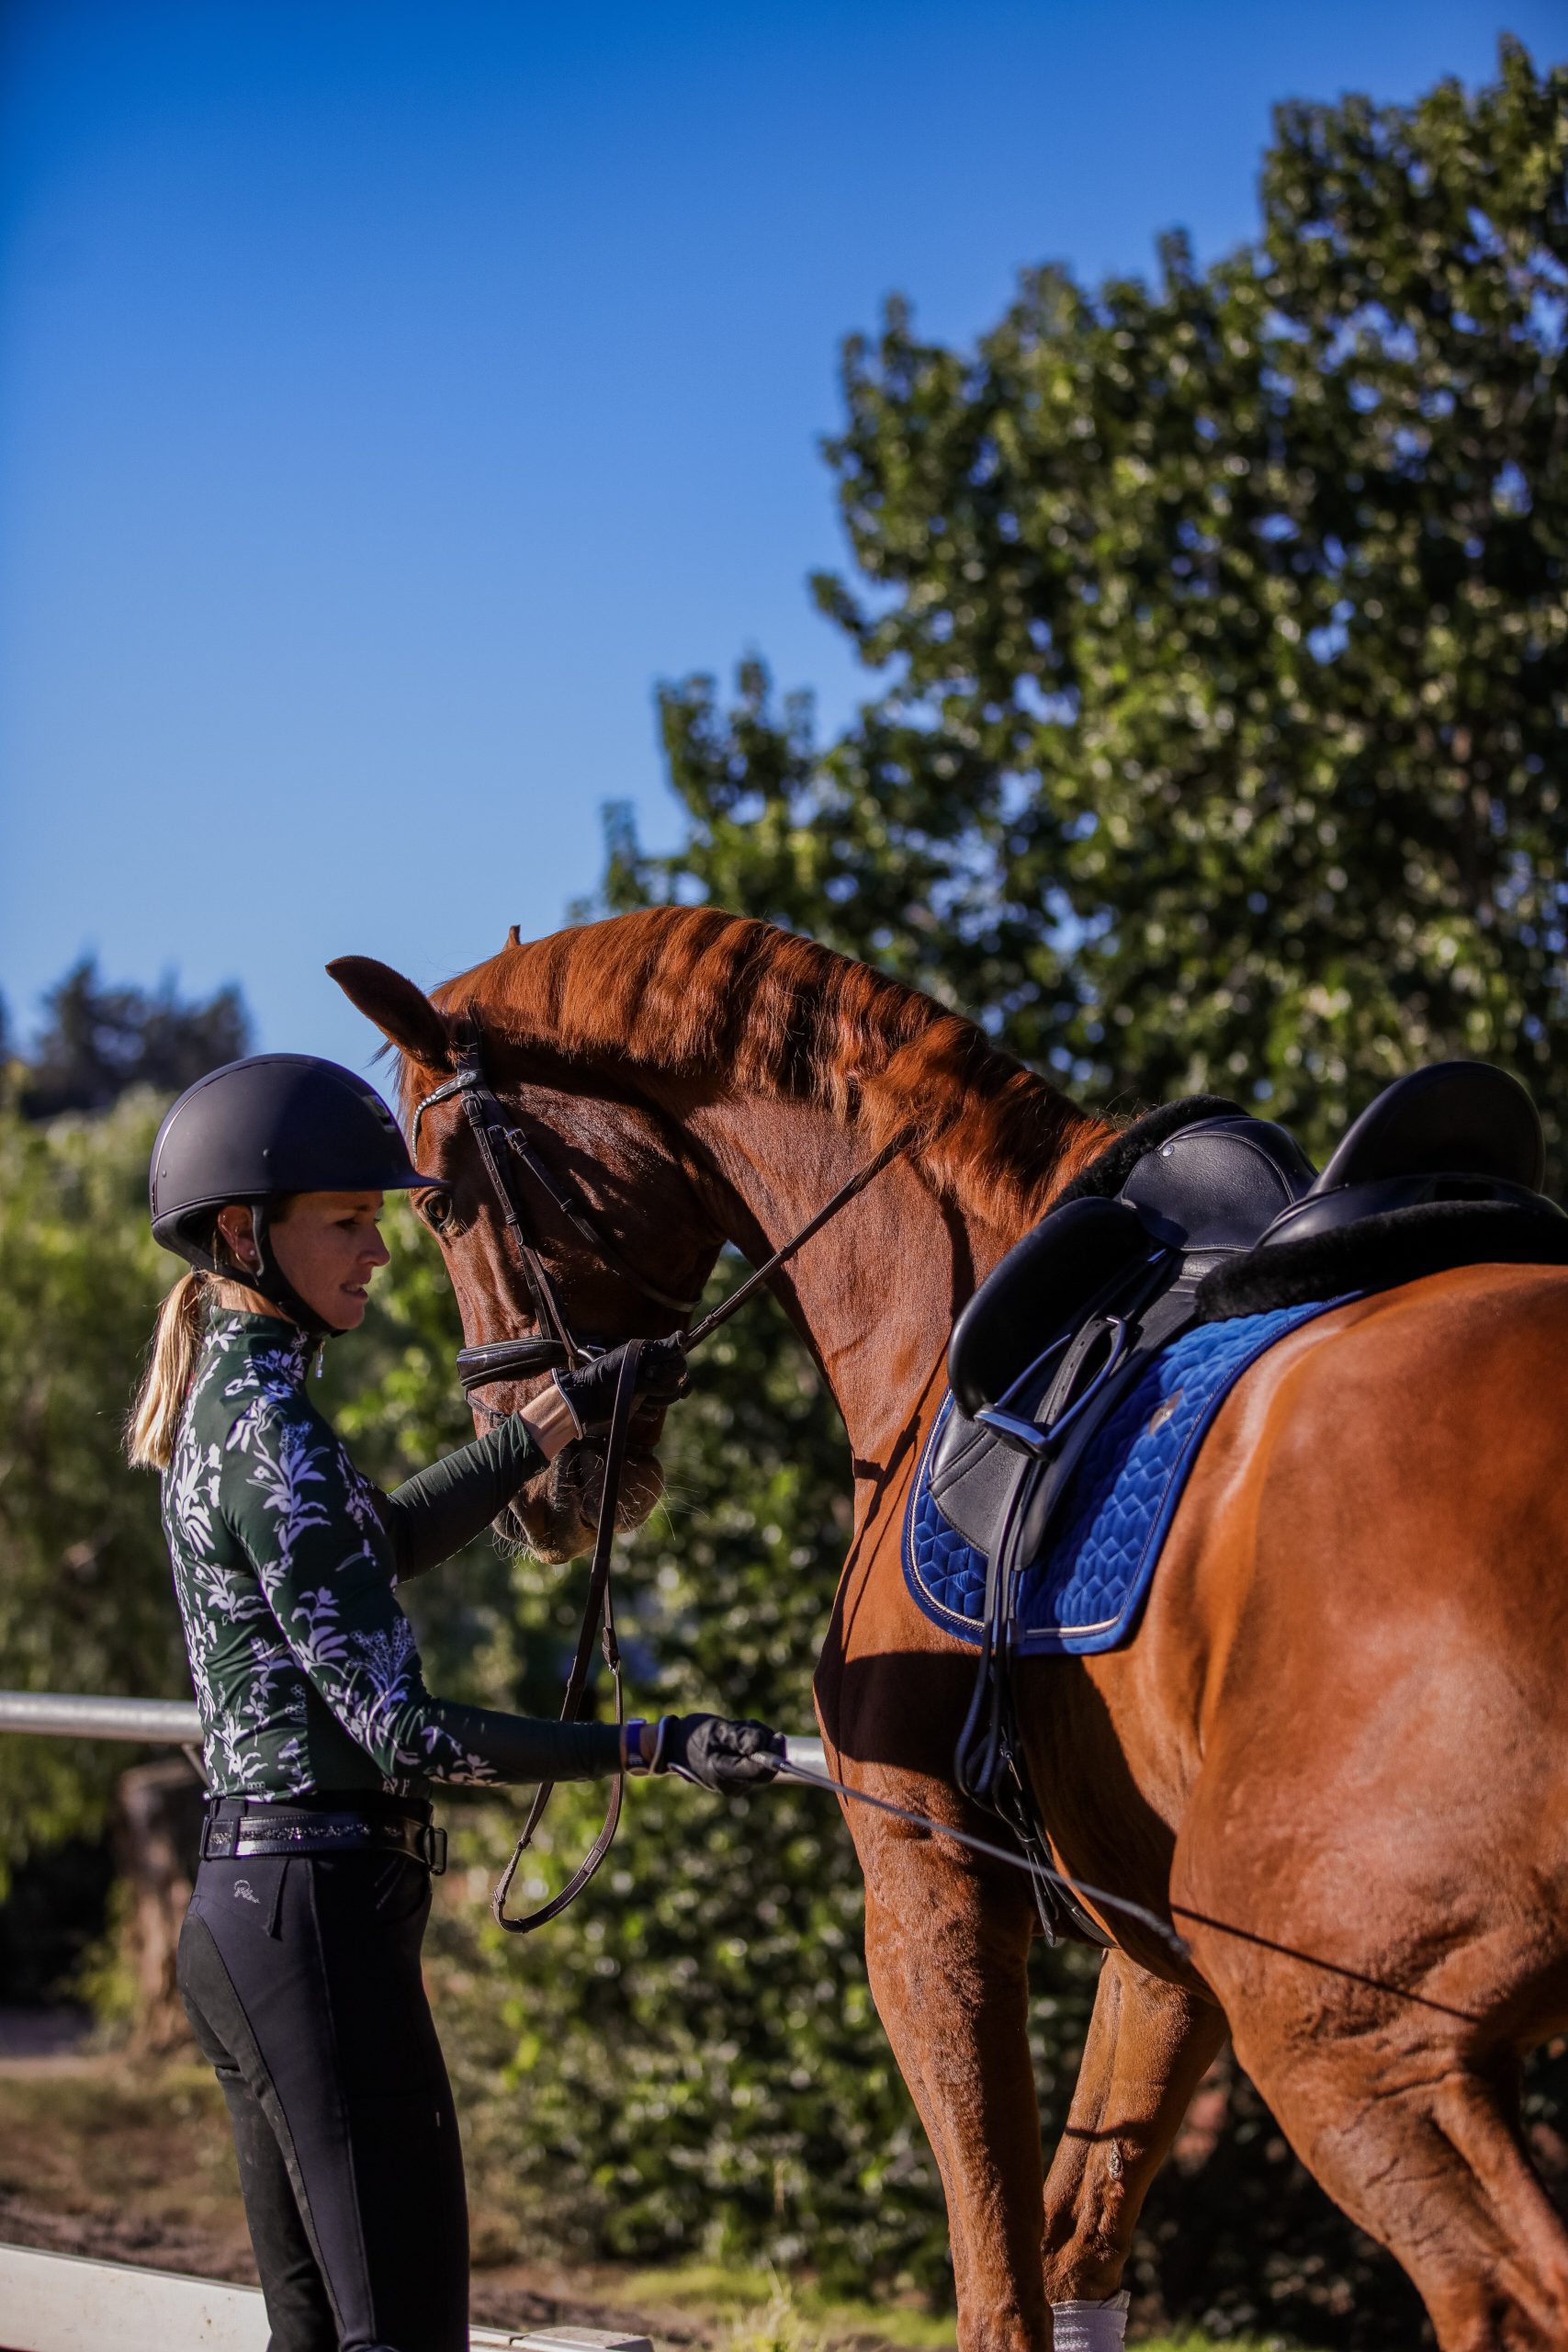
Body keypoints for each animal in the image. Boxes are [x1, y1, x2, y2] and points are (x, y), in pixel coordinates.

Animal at [330, 906, 1568, 2352]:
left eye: (447, 1195)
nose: (530, 1480)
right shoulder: (1152, 1946)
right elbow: (1077, 2236)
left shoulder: (929, 1877)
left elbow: (998, 2273)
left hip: (1353, 2031)